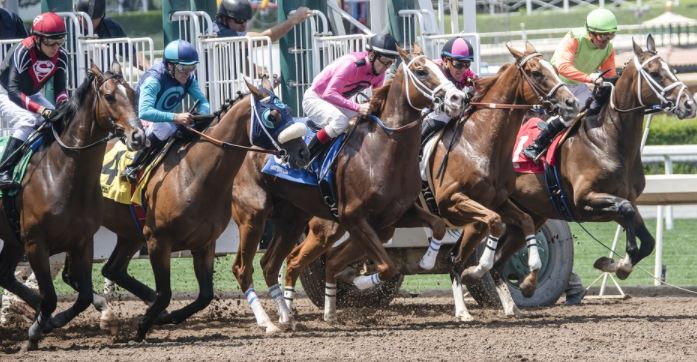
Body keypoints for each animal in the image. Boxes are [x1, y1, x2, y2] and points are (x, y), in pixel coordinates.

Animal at [0, 63, 145, 350]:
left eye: (134, 93)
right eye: (109, 96)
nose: (138, 136)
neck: (61, 174)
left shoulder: (82, 241)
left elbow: (84, 296)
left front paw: (48, 321)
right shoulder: (36, 244)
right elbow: (52, 296)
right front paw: (36, 330)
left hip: (11, 240)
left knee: (5, 275)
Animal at [98, 78, 308, 340]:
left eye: (289, 110)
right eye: (273, 115)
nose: (303, 152)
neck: (194, 173)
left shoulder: (204, 243)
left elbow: (205, 296)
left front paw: (168, 317)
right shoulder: (158, 240)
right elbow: (165, 293)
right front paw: (142, 328)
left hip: (130, 234)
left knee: (112, 269)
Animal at [230, 46, 468, 334]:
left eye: (442, 69)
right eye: (421, 71)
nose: (458, 98)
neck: (382, 149)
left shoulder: (392, 218)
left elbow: (438, 225)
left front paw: (426, 261)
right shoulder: (354, 217)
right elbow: (386, 266)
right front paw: (360, 283)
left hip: (292, 220)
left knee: (272, 263)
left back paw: (288, 315)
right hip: (253, 217)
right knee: (244, 267)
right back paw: (269, 321)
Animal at [280, 42, 580, 322]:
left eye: (553, 68)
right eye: (537, 72)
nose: (572, 103)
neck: (480, 142)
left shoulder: (497, 202)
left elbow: (521, 222)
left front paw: (528, 277)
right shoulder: (453, 201)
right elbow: (489, 229)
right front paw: (479, 271)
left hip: (363, 227)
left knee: (332, 261)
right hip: (330, 227)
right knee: (302, 259)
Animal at [484, 35, 692, 298]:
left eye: (672, 70)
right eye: (654, 72)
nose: (689, 104)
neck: (606, 139)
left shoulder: (621, 201)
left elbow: (647, 240)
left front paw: (615, 264)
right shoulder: (585, 198)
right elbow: (626, 213)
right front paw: (621, 263)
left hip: (528, 215)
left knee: (497, 258)